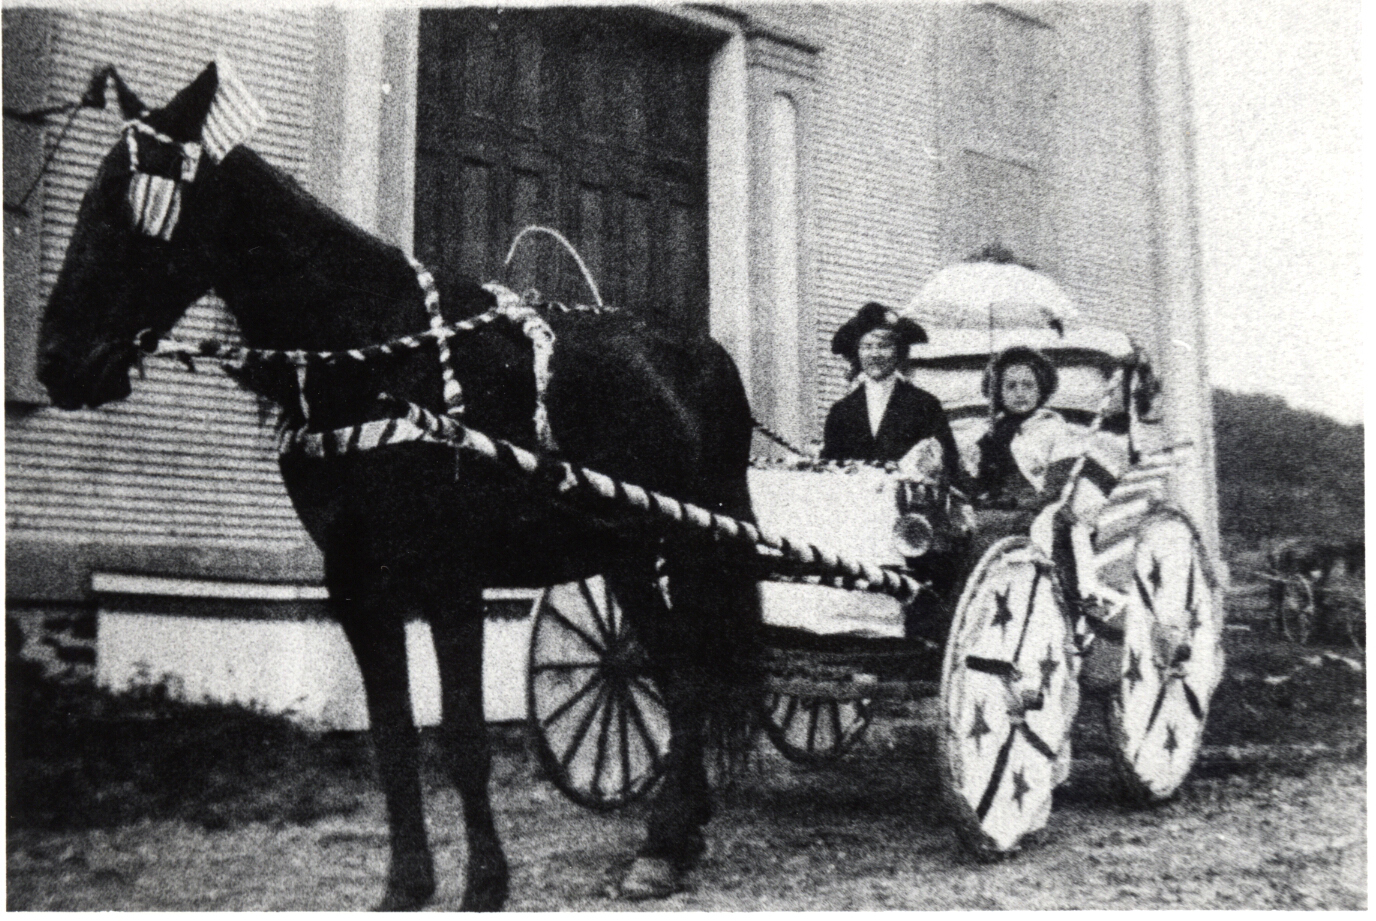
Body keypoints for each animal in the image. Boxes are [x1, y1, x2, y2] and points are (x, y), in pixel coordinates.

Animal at [34, 59, 765, 914]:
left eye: (129, 207)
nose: (57, 361)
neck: (375, 357)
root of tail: (704, 354)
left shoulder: (451, 577)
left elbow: (464, 736)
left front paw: (484, 883)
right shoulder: (356, 581)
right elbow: (392, 736)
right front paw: (407, 884)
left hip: (687, 542)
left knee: (690, 672)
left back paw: (665, 839)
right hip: (626, 553)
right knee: (675, 665)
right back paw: (677, 832)